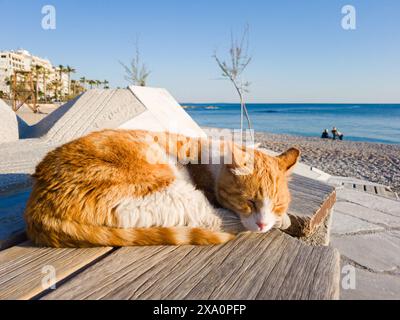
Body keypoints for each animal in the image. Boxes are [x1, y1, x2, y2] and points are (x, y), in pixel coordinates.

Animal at [25, 129, 298, 248]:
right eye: (249, 202)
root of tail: (37, 207)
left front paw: (281, 218)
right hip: (168, 190)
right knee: (210, 219)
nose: (263, 224)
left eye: (277, 204)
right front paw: (278, 222)